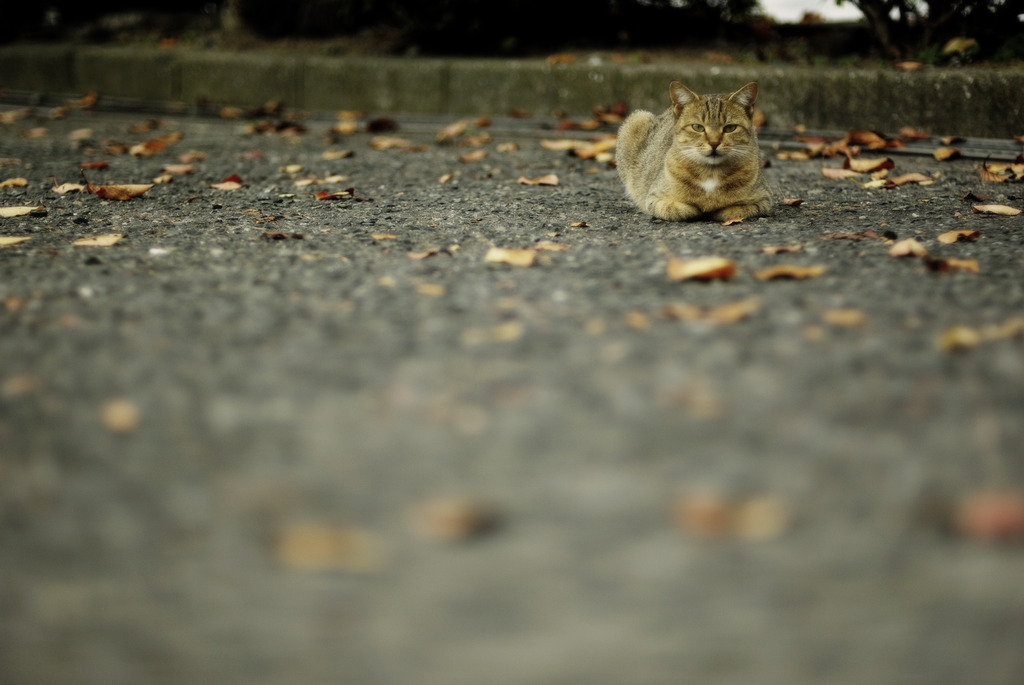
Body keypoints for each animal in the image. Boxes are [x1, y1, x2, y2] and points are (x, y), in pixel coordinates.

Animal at [614, 81, 770, 222]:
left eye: (730, 128)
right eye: (697, 127)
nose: (714, 143)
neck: (711, 173)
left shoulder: (763, 199)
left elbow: (733, 210)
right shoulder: (655, 198)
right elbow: (680, 210)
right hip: (636, 119)